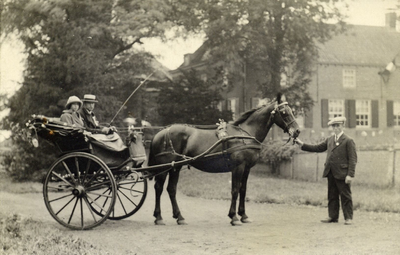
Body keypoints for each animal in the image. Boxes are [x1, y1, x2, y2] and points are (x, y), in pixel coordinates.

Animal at [147, 93, 300, 225]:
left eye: (291, 110)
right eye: (284, 112)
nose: (297, 131)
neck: (245, 134)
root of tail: (160, 133)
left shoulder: (247, 168)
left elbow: (243, 190)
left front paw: (243, 215)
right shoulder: (238, 167)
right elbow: (235, 190)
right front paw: (234, 217)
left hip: (175, 167)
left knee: (171, 189)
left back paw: (179, 217)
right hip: (165, 167)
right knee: (159, 188)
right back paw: (159, 217)